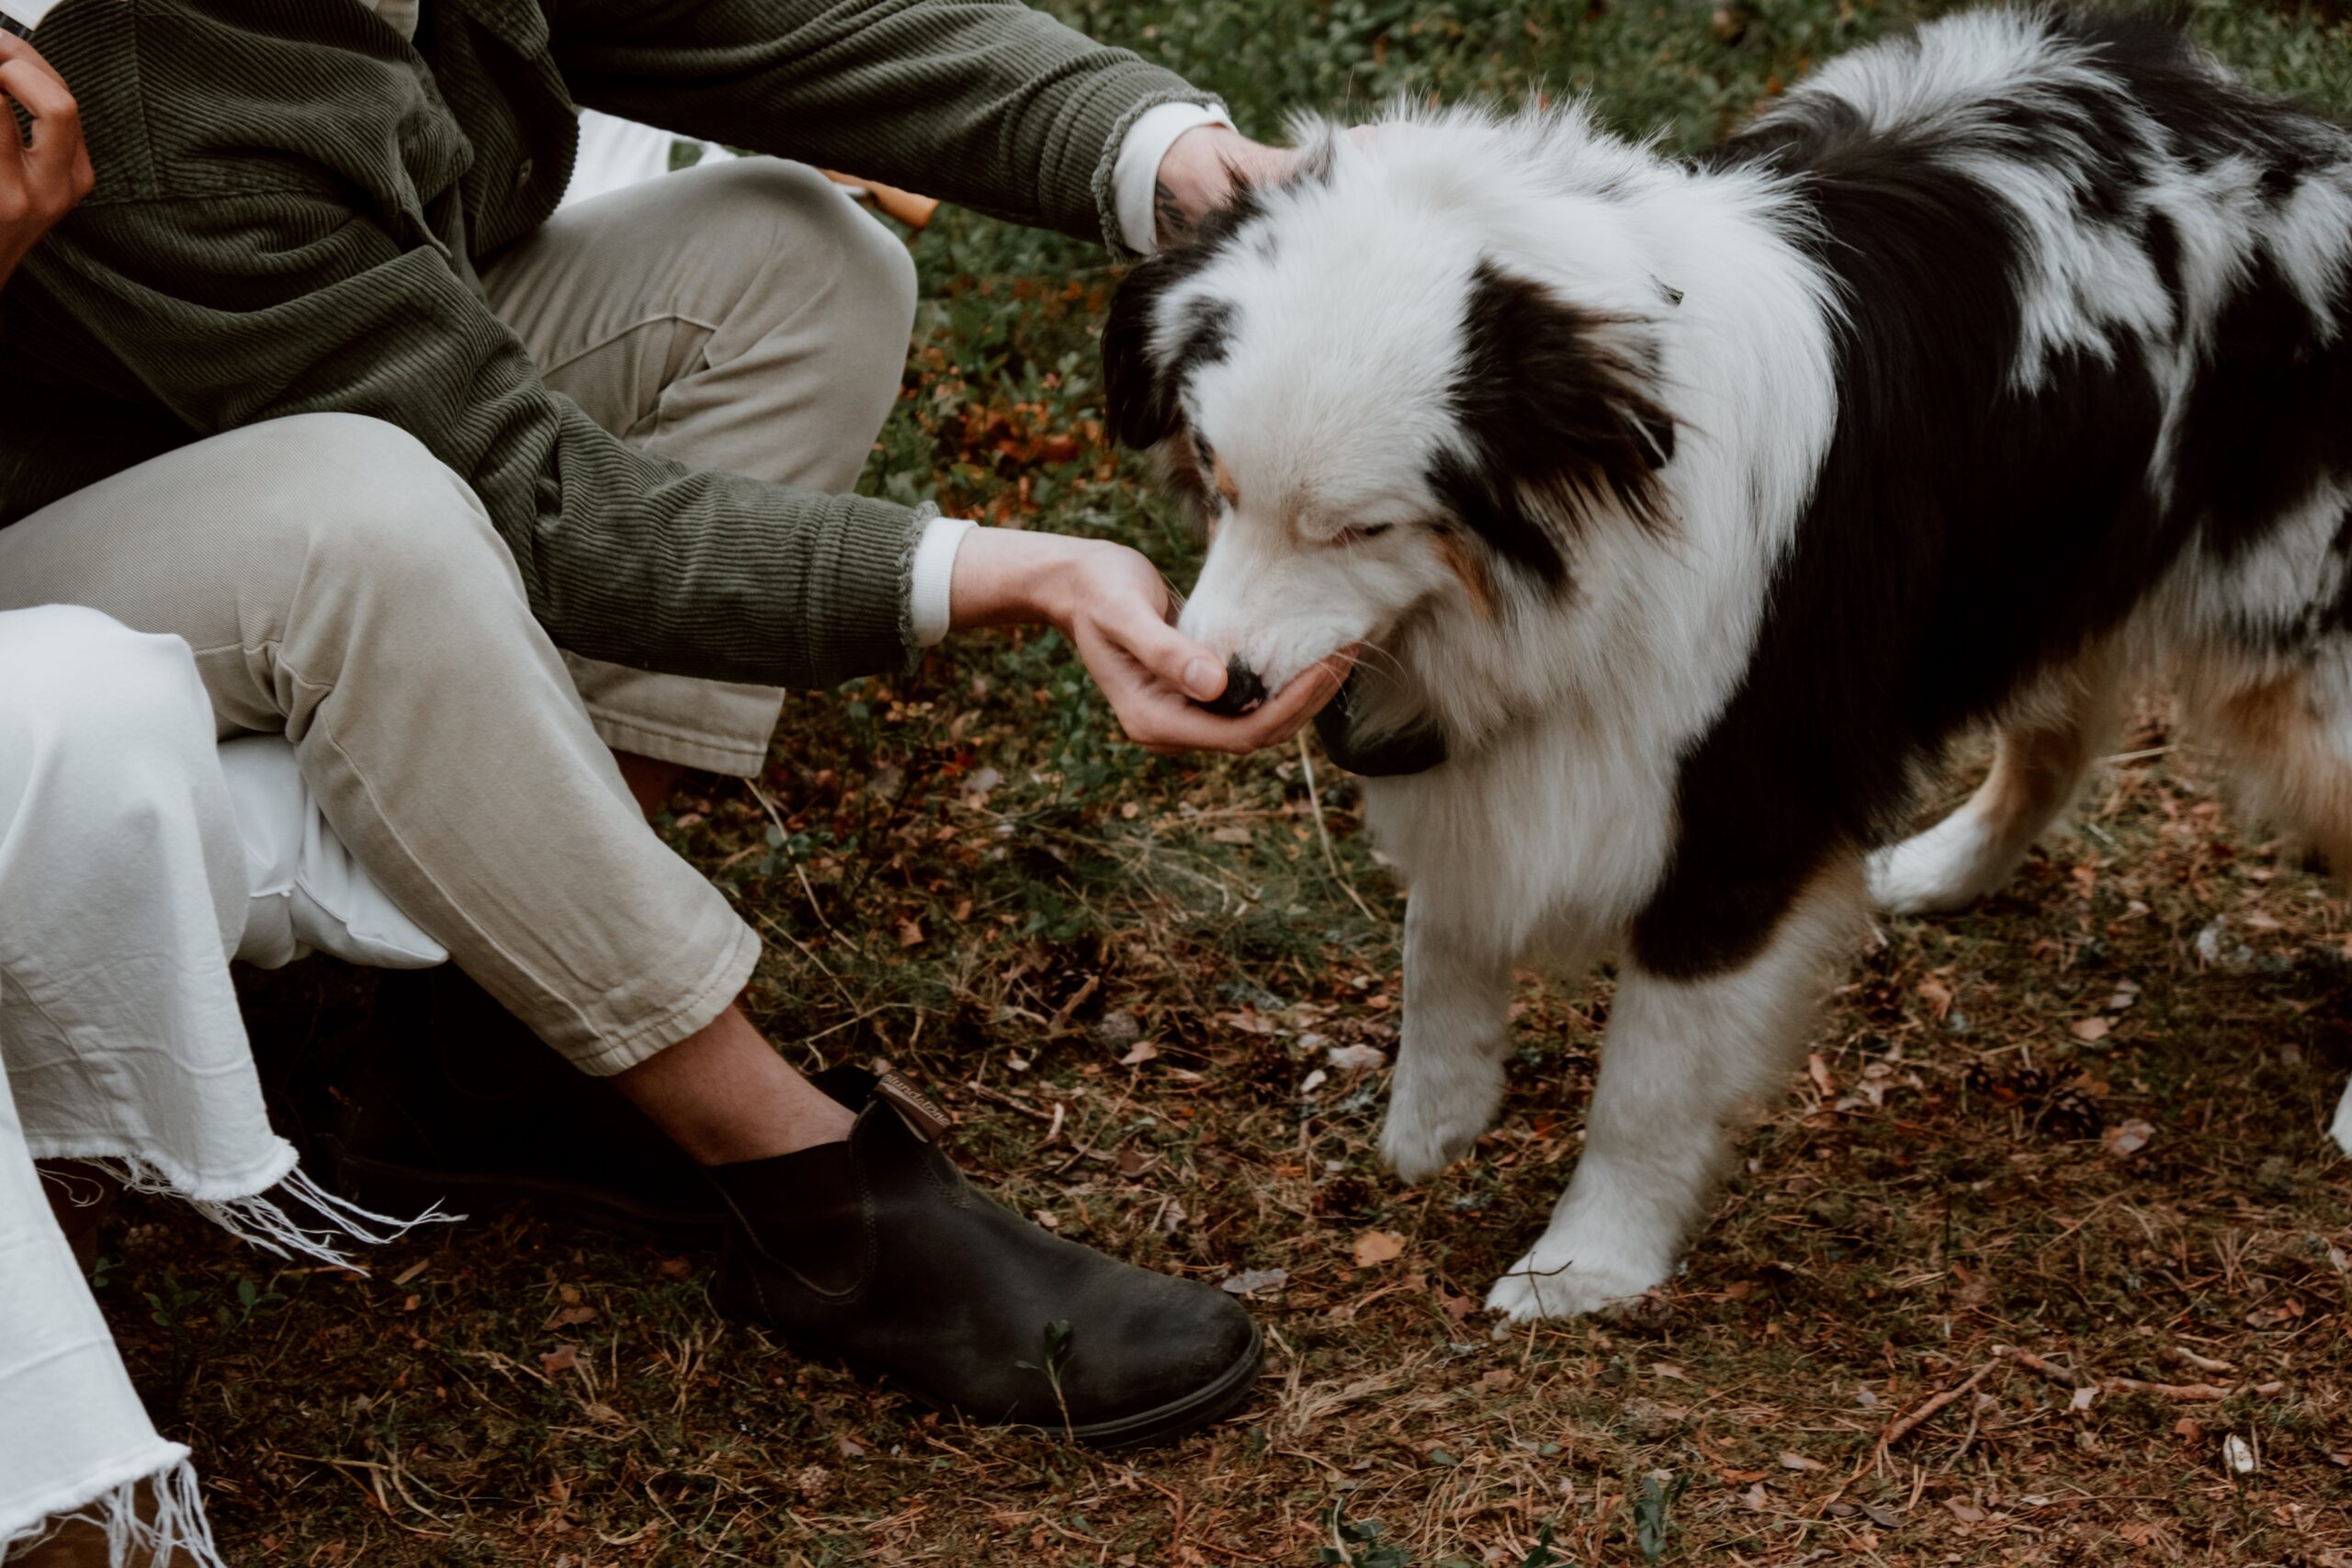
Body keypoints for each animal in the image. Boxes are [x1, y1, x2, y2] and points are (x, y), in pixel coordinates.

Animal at [1101, 6, 2352, 1316]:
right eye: (1215, 478)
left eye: (1363, 528)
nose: (1218, 687)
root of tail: (2291, 128)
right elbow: (1441, 932)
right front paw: (1432, 1122)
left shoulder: (1745, 798)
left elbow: (1647, 1081)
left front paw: (1586, 1265)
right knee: (2053, 741)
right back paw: (1941, 868)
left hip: (2299, 653)